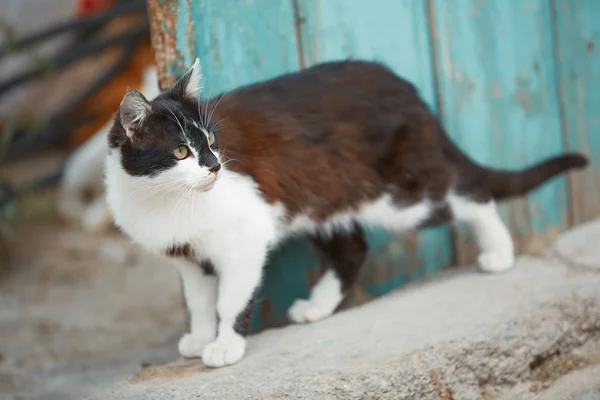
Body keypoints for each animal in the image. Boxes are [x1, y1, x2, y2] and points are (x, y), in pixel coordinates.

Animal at [103, 57, 584, 368]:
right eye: (181, 151)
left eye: (212, 142)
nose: (217, 167)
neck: (165, 199)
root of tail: (408, 90)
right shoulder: (186, 255)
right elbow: (199, 301)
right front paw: (202, 335)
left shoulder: (245, 235)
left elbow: (230, 298)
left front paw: (225, 346)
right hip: (322, 197)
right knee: (352, 246)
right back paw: (317, 307)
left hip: (399, 196)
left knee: (469, 191)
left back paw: (499, 253)